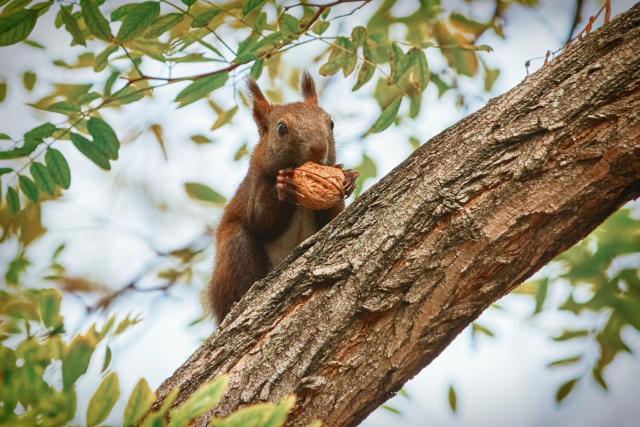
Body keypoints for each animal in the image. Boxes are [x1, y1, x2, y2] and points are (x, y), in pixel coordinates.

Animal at [208, 72, 358, 322]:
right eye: (281, 128)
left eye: (331, 123)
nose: (319, 148)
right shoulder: (256, 184)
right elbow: (261, 220)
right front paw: (285, 188)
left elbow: (333, 219)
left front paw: (347, 177)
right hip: (234, 251)